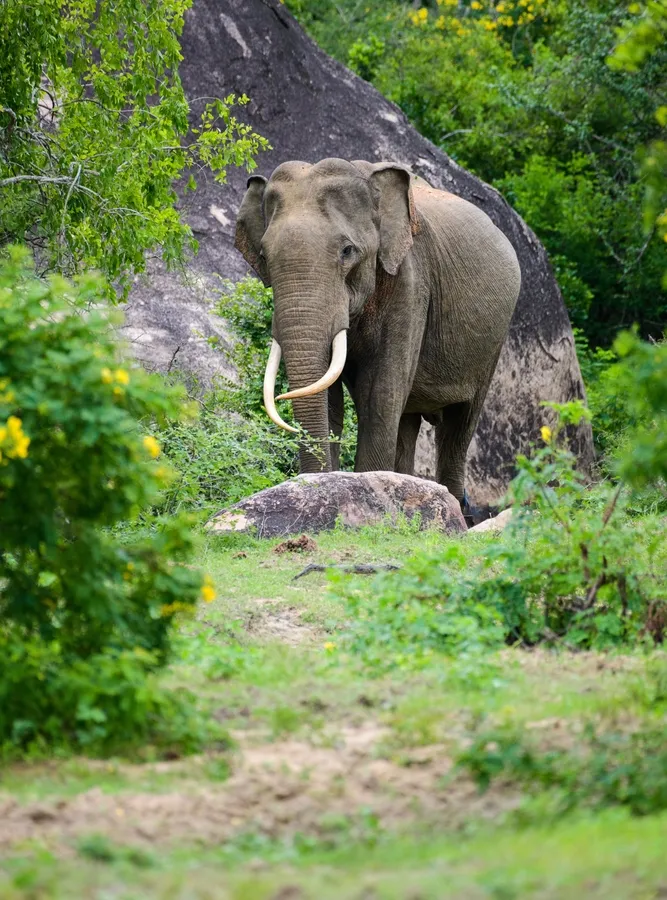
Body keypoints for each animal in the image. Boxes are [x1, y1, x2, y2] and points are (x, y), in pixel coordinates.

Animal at [235, 157, 521, 517]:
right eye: (263, 255)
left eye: (347, 251)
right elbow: (332, 396)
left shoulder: (411, 282)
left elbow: (380, 391)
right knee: (408, 421)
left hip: (493, 341)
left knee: (460, 423)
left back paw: (458, 510)